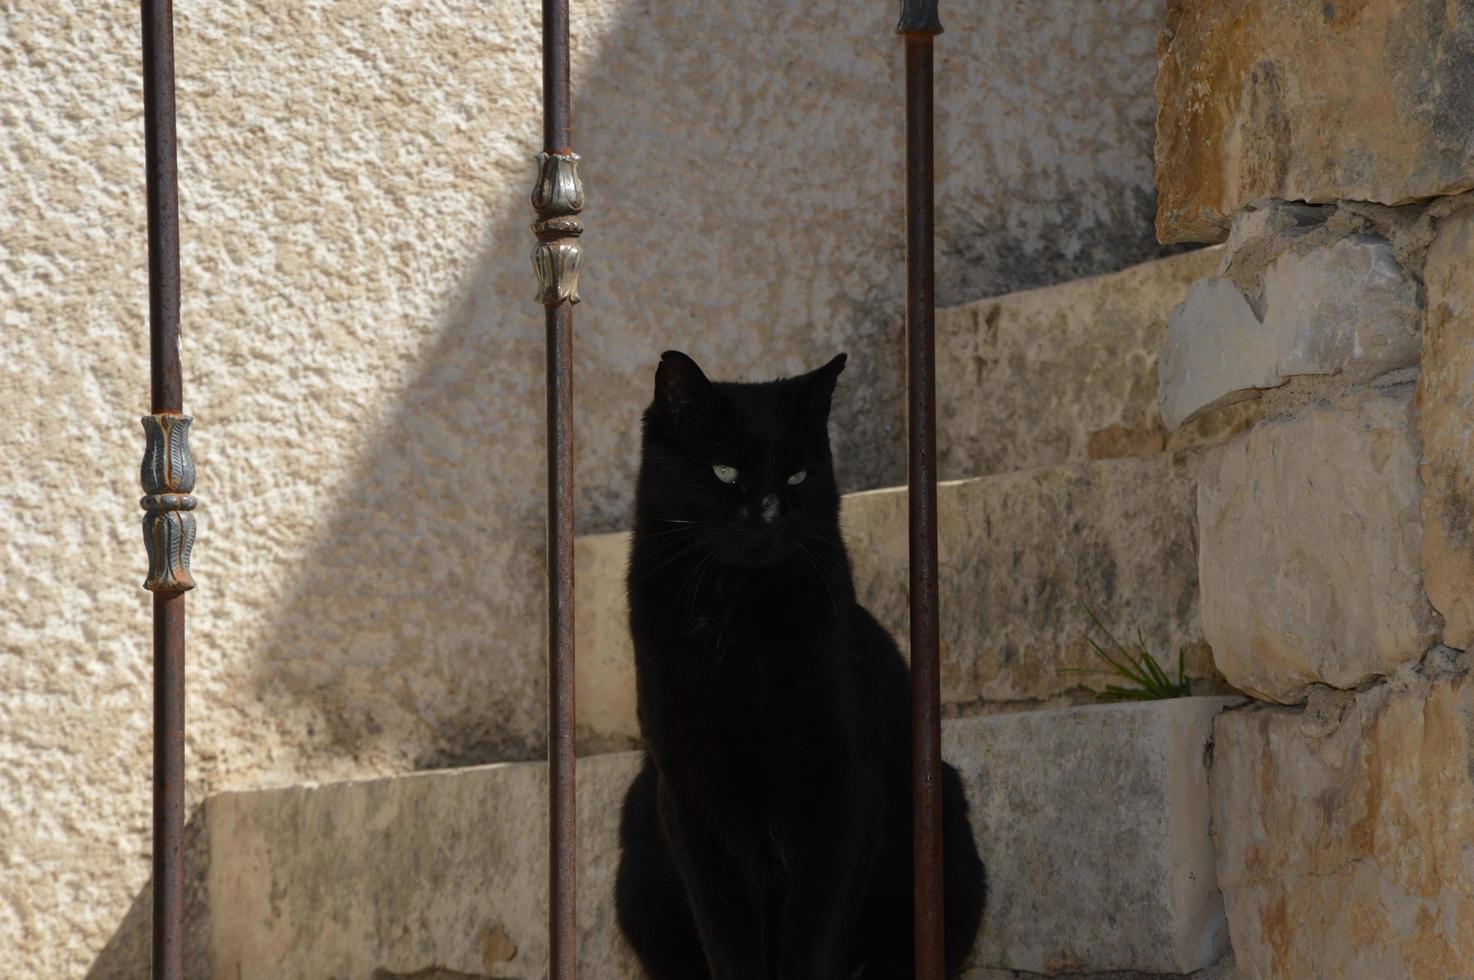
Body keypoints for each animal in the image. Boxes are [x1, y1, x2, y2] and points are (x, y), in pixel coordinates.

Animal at [616, 352, 984, 978]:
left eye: (797, 477)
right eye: (724, 471)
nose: (768, 517)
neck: (740, 615)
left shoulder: (841, 787)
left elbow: (815, 932)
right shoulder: (690, 796)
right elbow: (727, 935)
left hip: (943, 823)